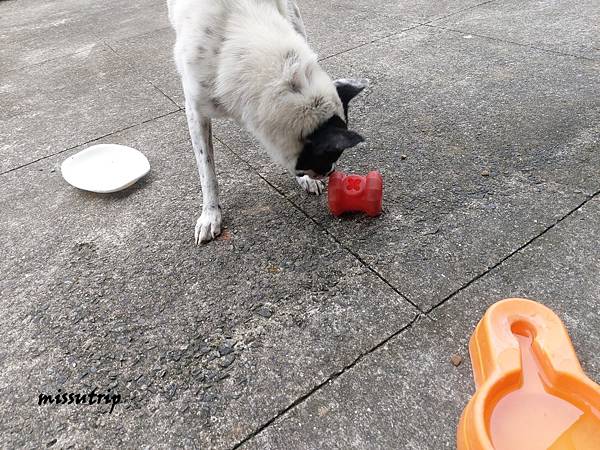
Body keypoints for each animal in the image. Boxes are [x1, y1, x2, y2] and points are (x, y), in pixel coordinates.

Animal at [168, 0, 366, 244]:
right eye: (329, 156)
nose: (331, 173)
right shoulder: (195, 111)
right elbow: (207, 172)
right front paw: (210, 215)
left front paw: (306, 181)